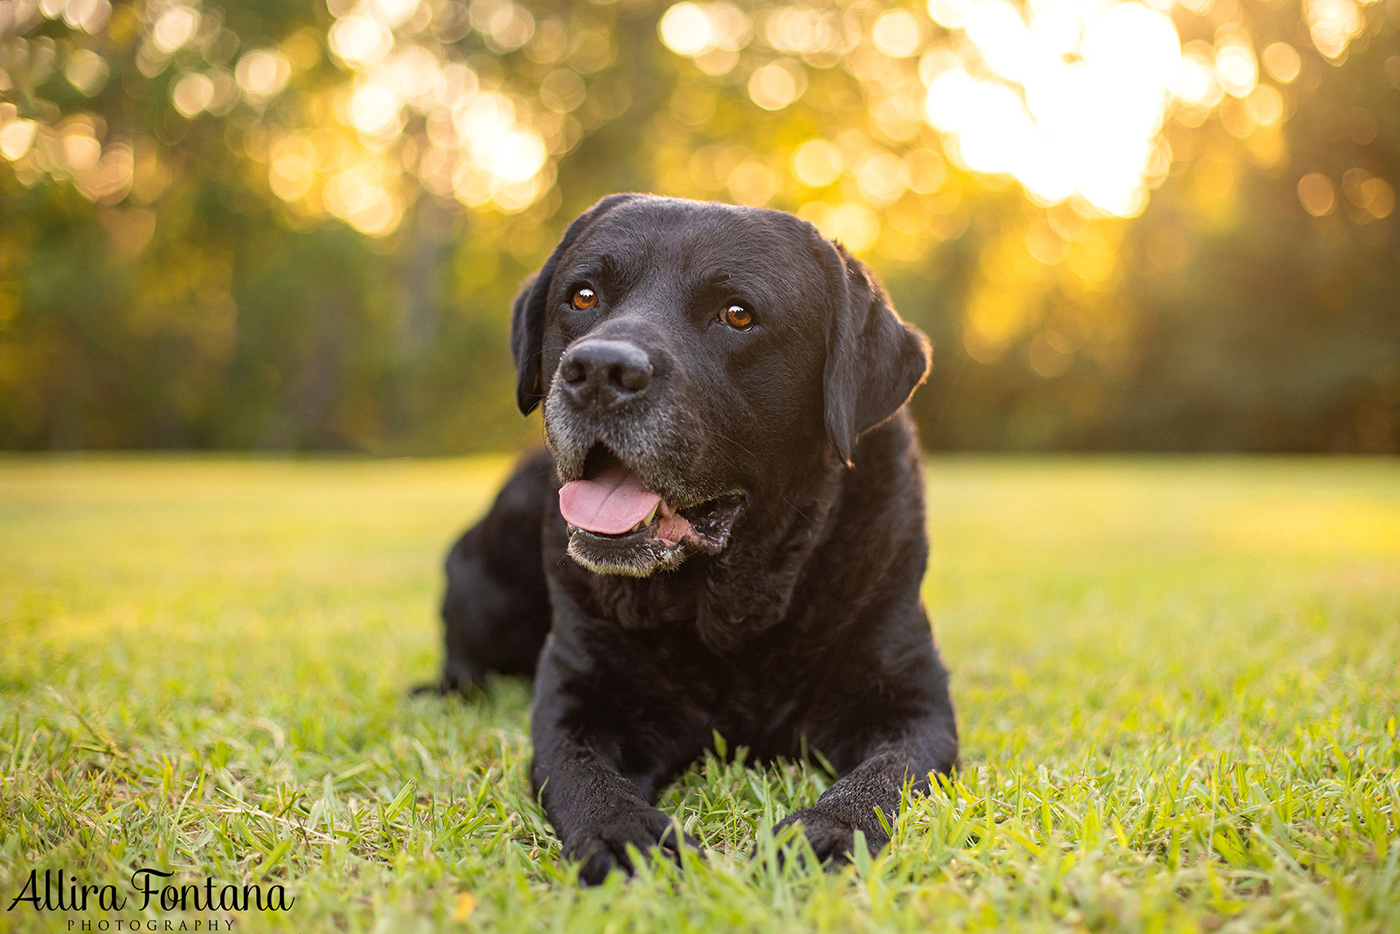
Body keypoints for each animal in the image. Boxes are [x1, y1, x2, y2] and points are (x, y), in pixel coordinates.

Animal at [420, 191, 957, 884]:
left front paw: (822, 834)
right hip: (485, 584)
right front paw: (624, 836)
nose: (599, 369)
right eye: (583, 297)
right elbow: (583, 777)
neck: (724, 607)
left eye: (737, 314)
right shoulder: (578, 698)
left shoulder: (912, 703)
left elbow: (885, 777)